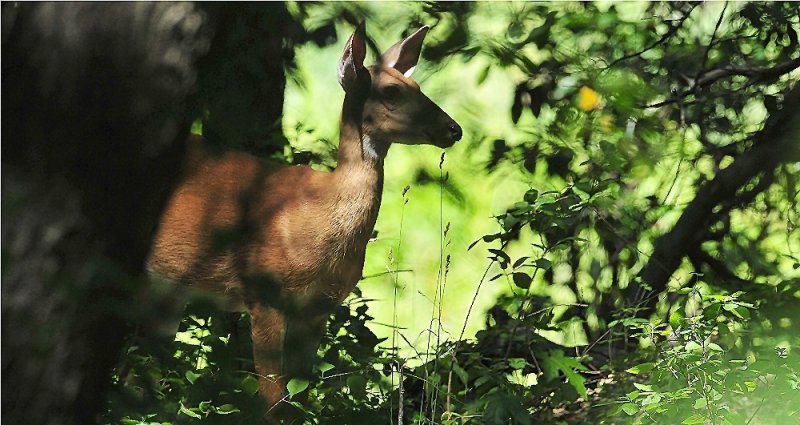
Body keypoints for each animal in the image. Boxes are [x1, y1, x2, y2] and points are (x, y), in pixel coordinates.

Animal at [148, 22, 462, 414]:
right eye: (392, 91)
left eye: (418, 86)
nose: (454, 129)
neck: (315, 214)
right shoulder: (263, 294)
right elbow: (274, 403)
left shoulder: (317, 310)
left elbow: (300, 397)